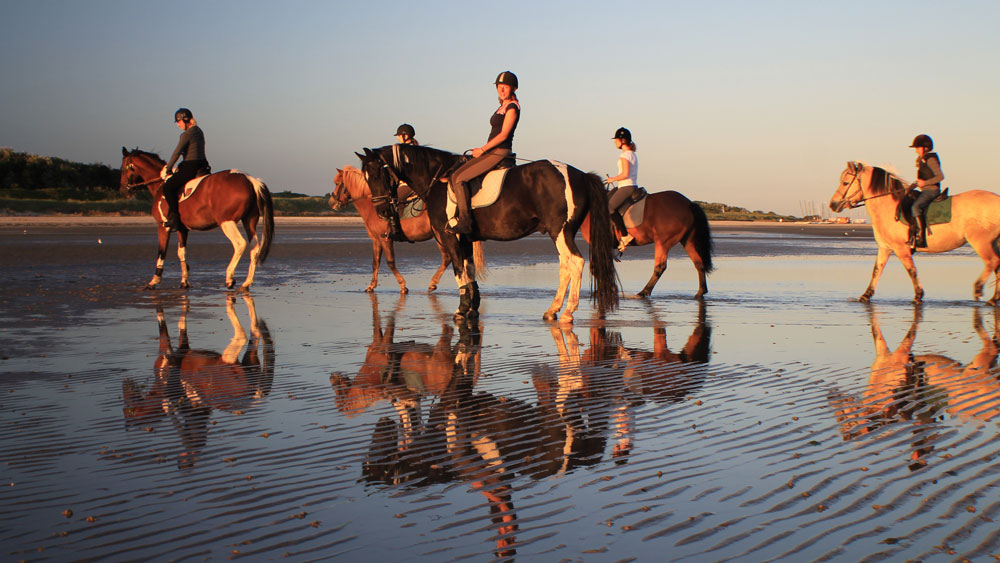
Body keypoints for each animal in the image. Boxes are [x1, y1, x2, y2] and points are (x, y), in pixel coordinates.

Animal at [119, 147, 274, 291]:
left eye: (122, 169)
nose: (123, 191)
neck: (162, 184)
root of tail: (249, 179)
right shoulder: (182, 230)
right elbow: (181, 252)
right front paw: (184, 281)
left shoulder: (163, 227)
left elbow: (161, 252)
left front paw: (154, 281)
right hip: (249, 221)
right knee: (254, 248)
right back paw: (247, 282)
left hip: (227, 223)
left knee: (239, 244)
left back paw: (230, 277)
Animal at [330, 166, 485, 293]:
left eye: (337, 183)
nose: (331, 202)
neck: (372, 205)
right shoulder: (376, 240)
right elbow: (375, 263)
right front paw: (371, 286)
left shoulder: (385, 239)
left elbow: (390, 262)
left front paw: (403, 285)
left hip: (441, 236)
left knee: (448, 257)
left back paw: (434, 283)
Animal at [358, 144, 619, 323]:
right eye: (366, 177)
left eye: (377, 174)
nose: (382, 211)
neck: (437, 180)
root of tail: (579, 174)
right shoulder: (464, 239)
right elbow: (469, 271)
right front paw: (472, 307)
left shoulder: (450, 237)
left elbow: (458, 270)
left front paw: (461, 310)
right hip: (562, 233)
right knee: (565, 265)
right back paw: (552, 310)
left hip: (560, 231)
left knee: (575, 262)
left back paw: (567, 312)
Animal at [581, 190, 714, 298]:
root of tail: (688, 204)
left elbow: (597, 266)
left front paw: (606, 289)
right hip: (688, 241)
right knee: (699, 263)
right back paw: (700, 292)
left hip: (662, 242)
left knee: (660, 267)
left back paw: (644, 292)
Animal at [829, 161, 1000, 304]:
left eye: (845, 182)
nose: (833, 204)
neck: (888, 207)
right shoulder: (885, 248)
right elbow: (876, 271)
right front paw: (865, 296)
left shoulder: (901, 249)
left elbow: (911, 270)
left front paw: (918, 295)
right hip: (992, 243)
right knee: (997, 265)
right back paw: (994, 298)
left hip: (980, 242)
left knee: (992, 262)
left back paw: (979, 288)